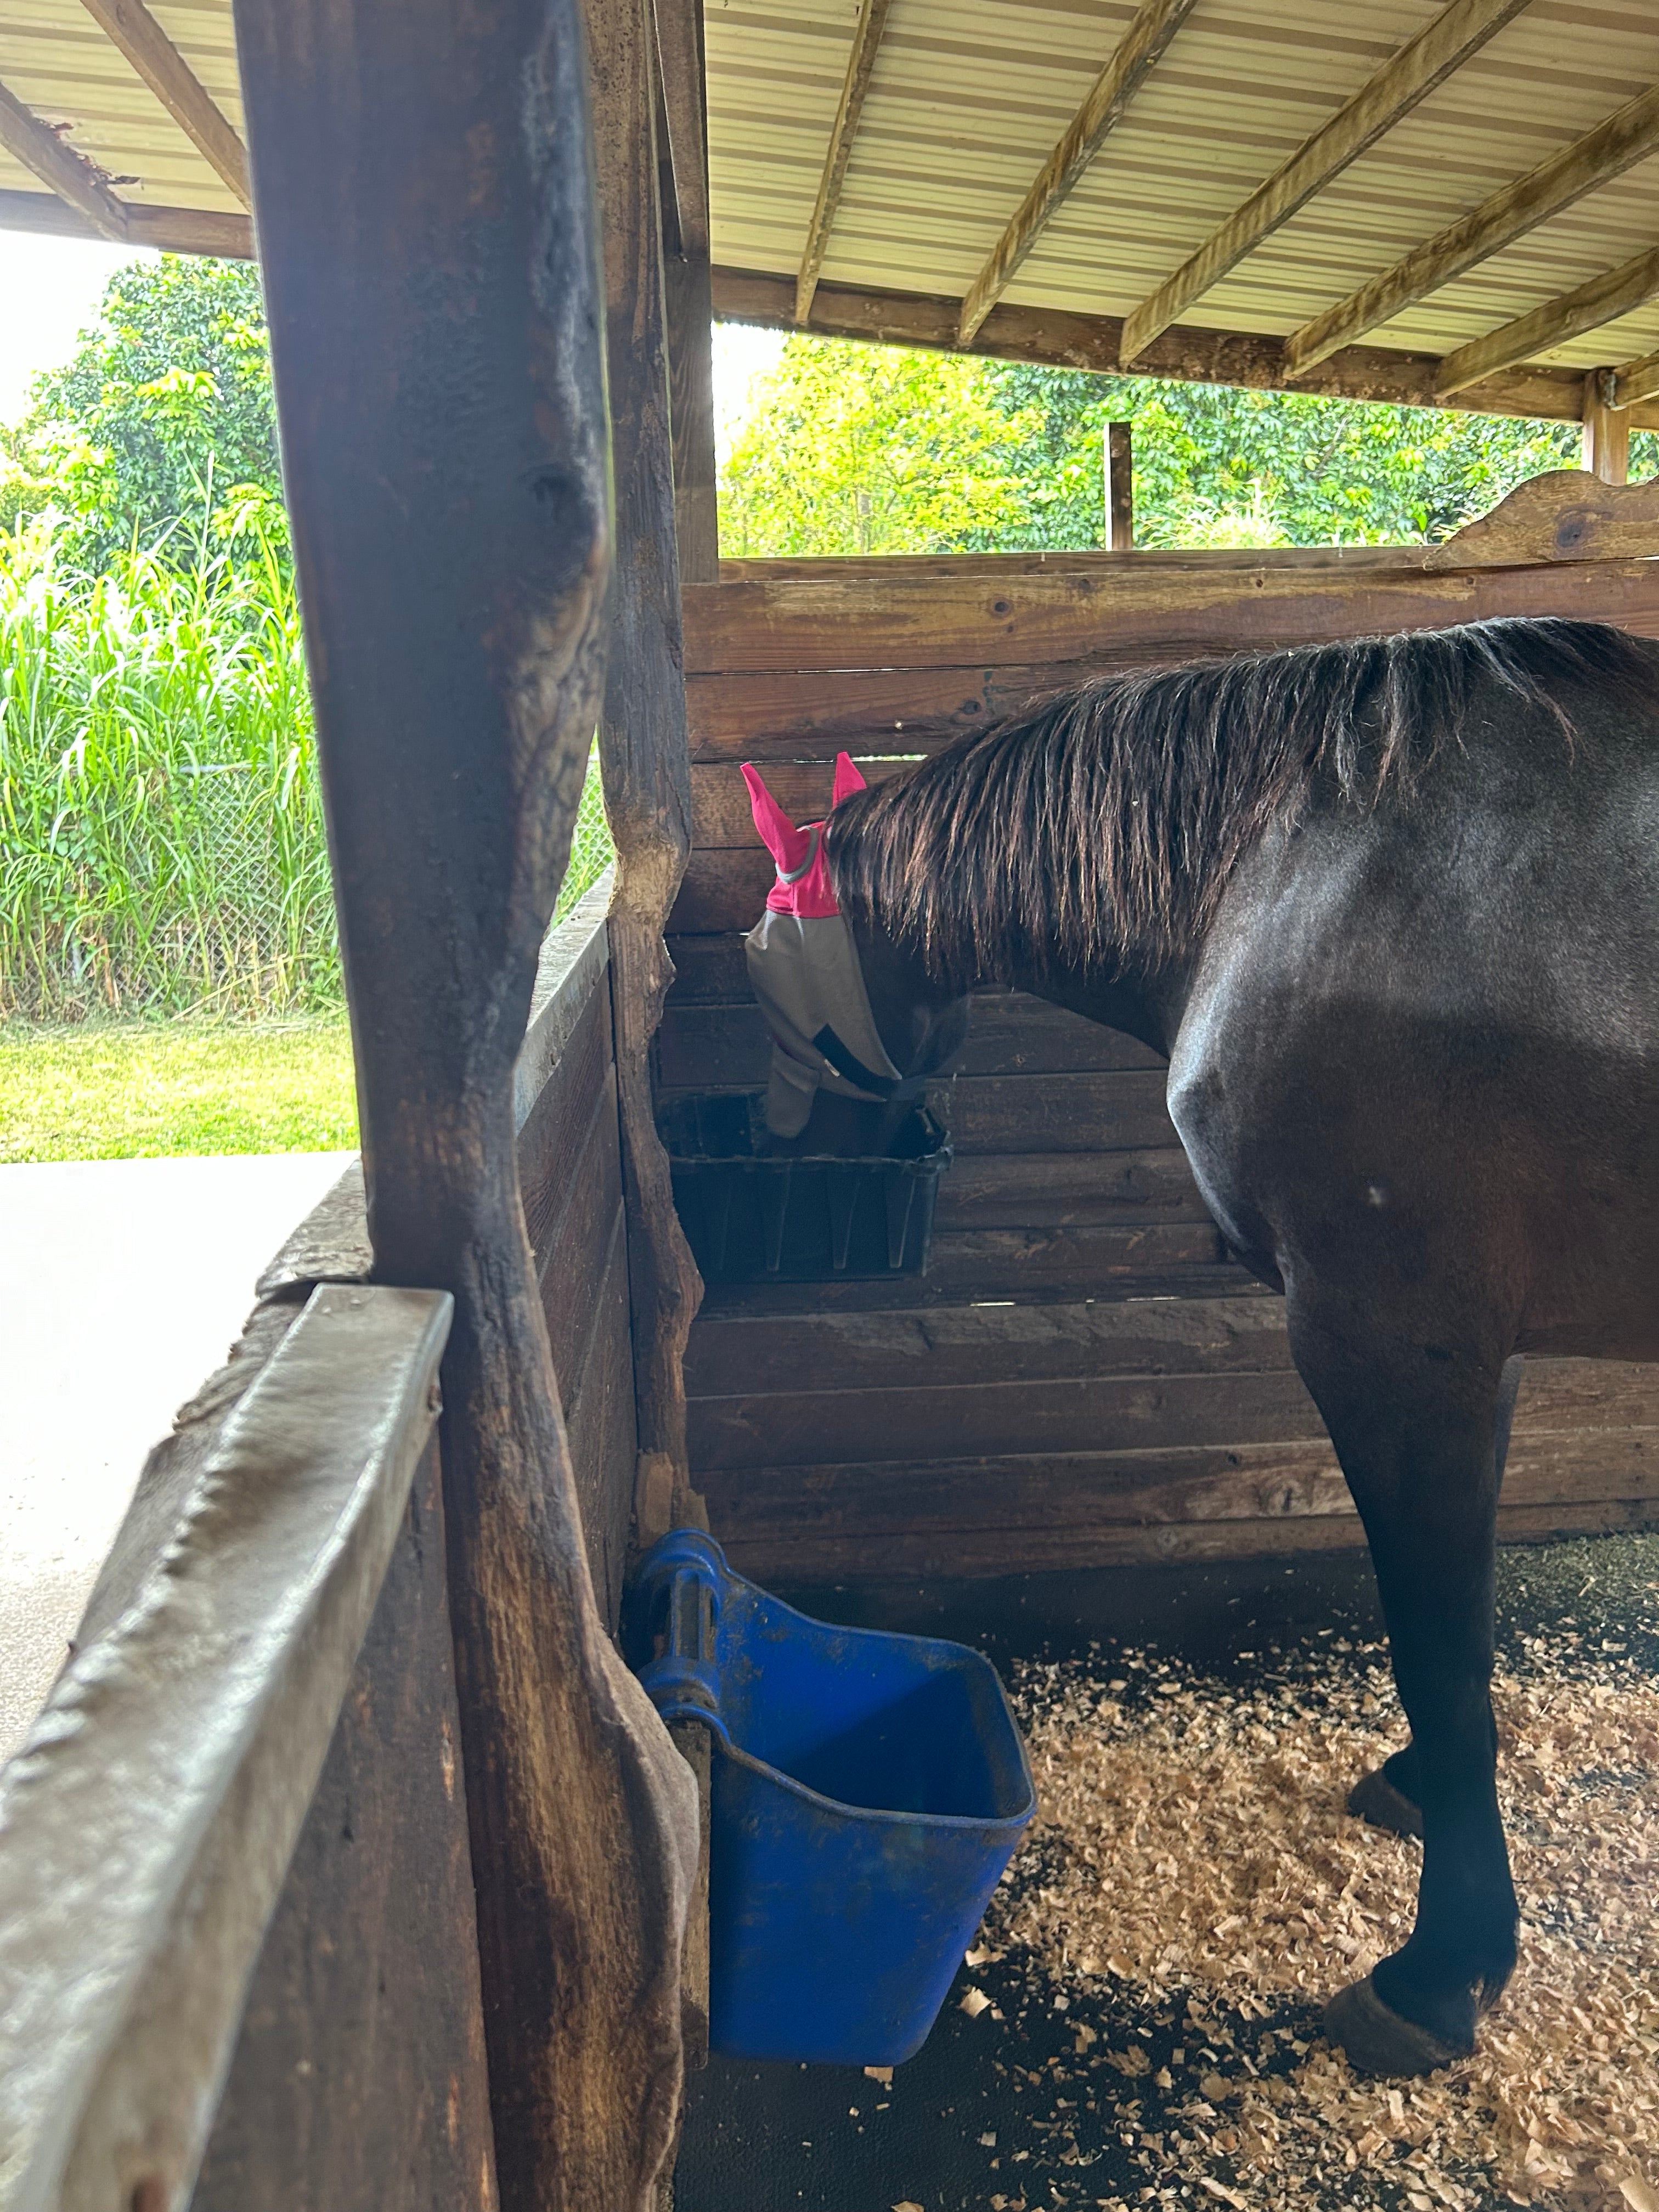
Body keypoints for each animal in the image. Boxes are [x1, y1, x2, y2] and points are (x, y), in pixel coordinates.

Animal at [765, 619, 1659, 2070]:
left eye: (765, 989)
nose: (817, 1165)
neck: (1288, 862)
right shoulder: (1481, 1357)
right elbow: (1452, 1636)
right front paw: (1429, 1794)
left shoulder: (1394, 1350)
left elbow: (1437, 1642)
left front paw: (1446, 1967)